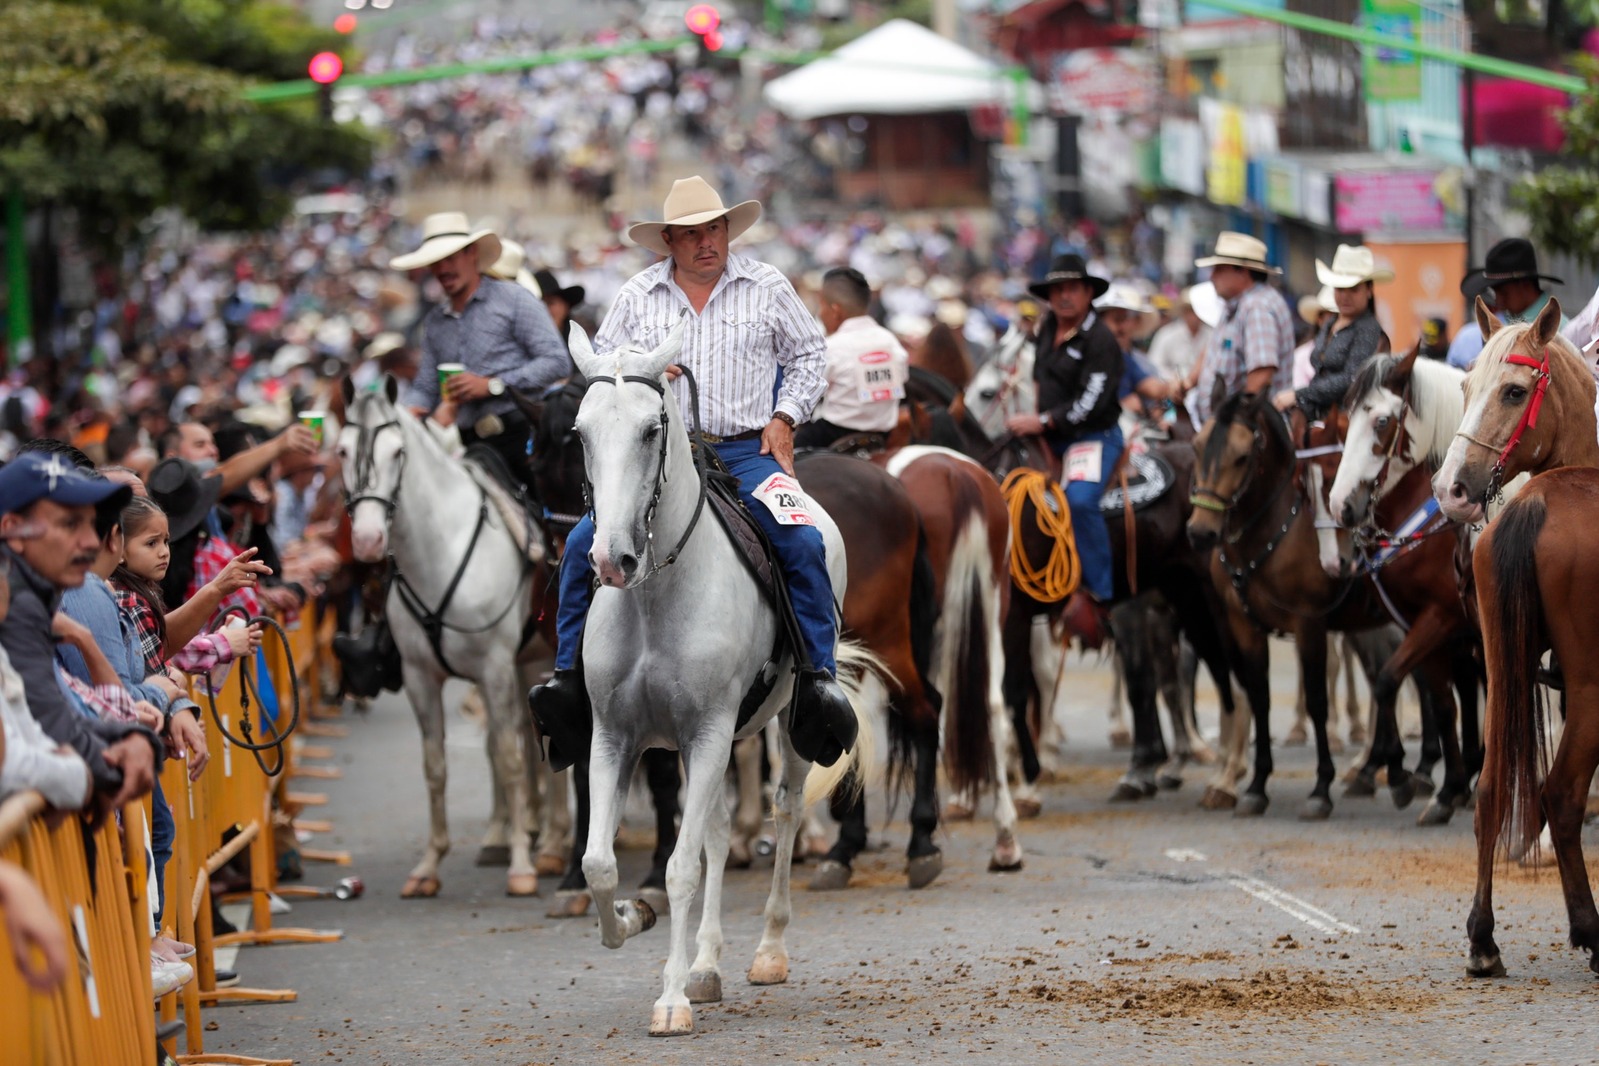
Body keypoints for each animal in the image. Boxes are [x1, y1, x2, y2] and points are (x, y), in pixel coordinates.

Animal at [338, 378, 556, 894]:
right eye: (340, 450)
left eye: (397, 452)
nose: (369, 541)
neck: (440, 552)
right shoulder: (422, 678)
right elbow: (435, 766)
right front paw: (430, 865)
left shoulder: (494, 668)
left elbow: (508, 757)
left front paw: (521, 866)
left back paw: (549, 841)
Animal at [566, 322, 889, 1035]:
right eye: (581, 431)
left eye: (651, 429)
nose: (612, 558)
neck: (655, 600)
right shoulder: (615, 737)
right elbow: (600, 862)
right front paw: (631, 918)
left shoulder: (711, 731)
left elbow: (681, 867)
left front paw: (670, 1001)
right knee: (715, 829)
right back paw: (706, 962)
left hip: (785, 730)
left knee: (784, 810)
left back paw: (767, 951)